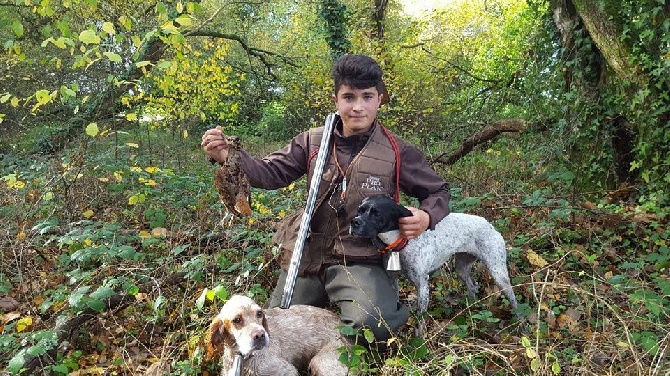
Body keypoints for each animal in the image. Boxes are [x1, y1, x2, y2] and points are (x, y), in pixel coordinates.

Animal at [207, 296, 350, 376]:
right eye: (237, 320)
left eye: (259, 313)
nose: (260, 335)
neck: (244, 359)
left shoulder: (288, 371)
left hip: (320, 363)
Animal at [352, 195, 520, 322]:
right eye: (359, 210)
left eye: (377, 213)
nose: (354, 222)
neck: (401, 243)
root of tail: (489, 224)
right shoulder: (392, 280)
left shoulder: (422, 286)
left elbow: (420, 322)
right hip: (461, 266)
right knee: (472, 286)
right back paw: (470, 310)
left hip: (498, 273)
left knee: (514, 301)